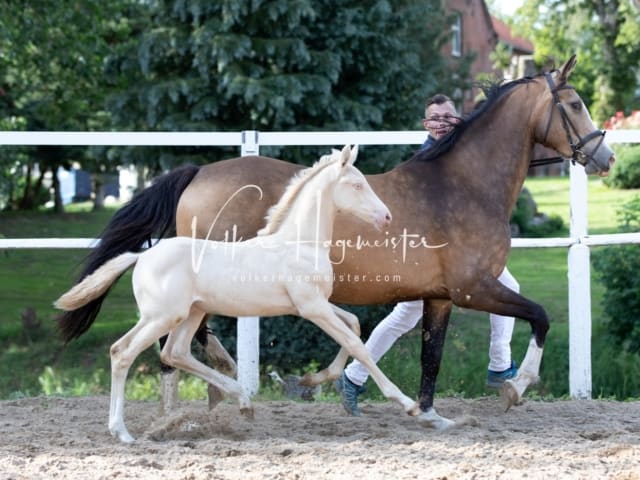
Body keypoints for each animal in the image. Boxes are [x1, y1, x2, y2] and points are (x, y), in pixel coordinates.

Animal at [60, 55, 616, 428]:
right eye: (574, 103)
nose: (604, 156)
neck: (462, 184)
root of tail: (198, 172)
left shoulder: (439, 296)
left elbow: (430, 355)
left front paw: (429, 413)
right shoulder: (473, 287)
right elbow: (540, 317)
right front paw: (515, 387)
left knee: (181, 344)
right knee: (172, 346)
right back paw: (189, 411)